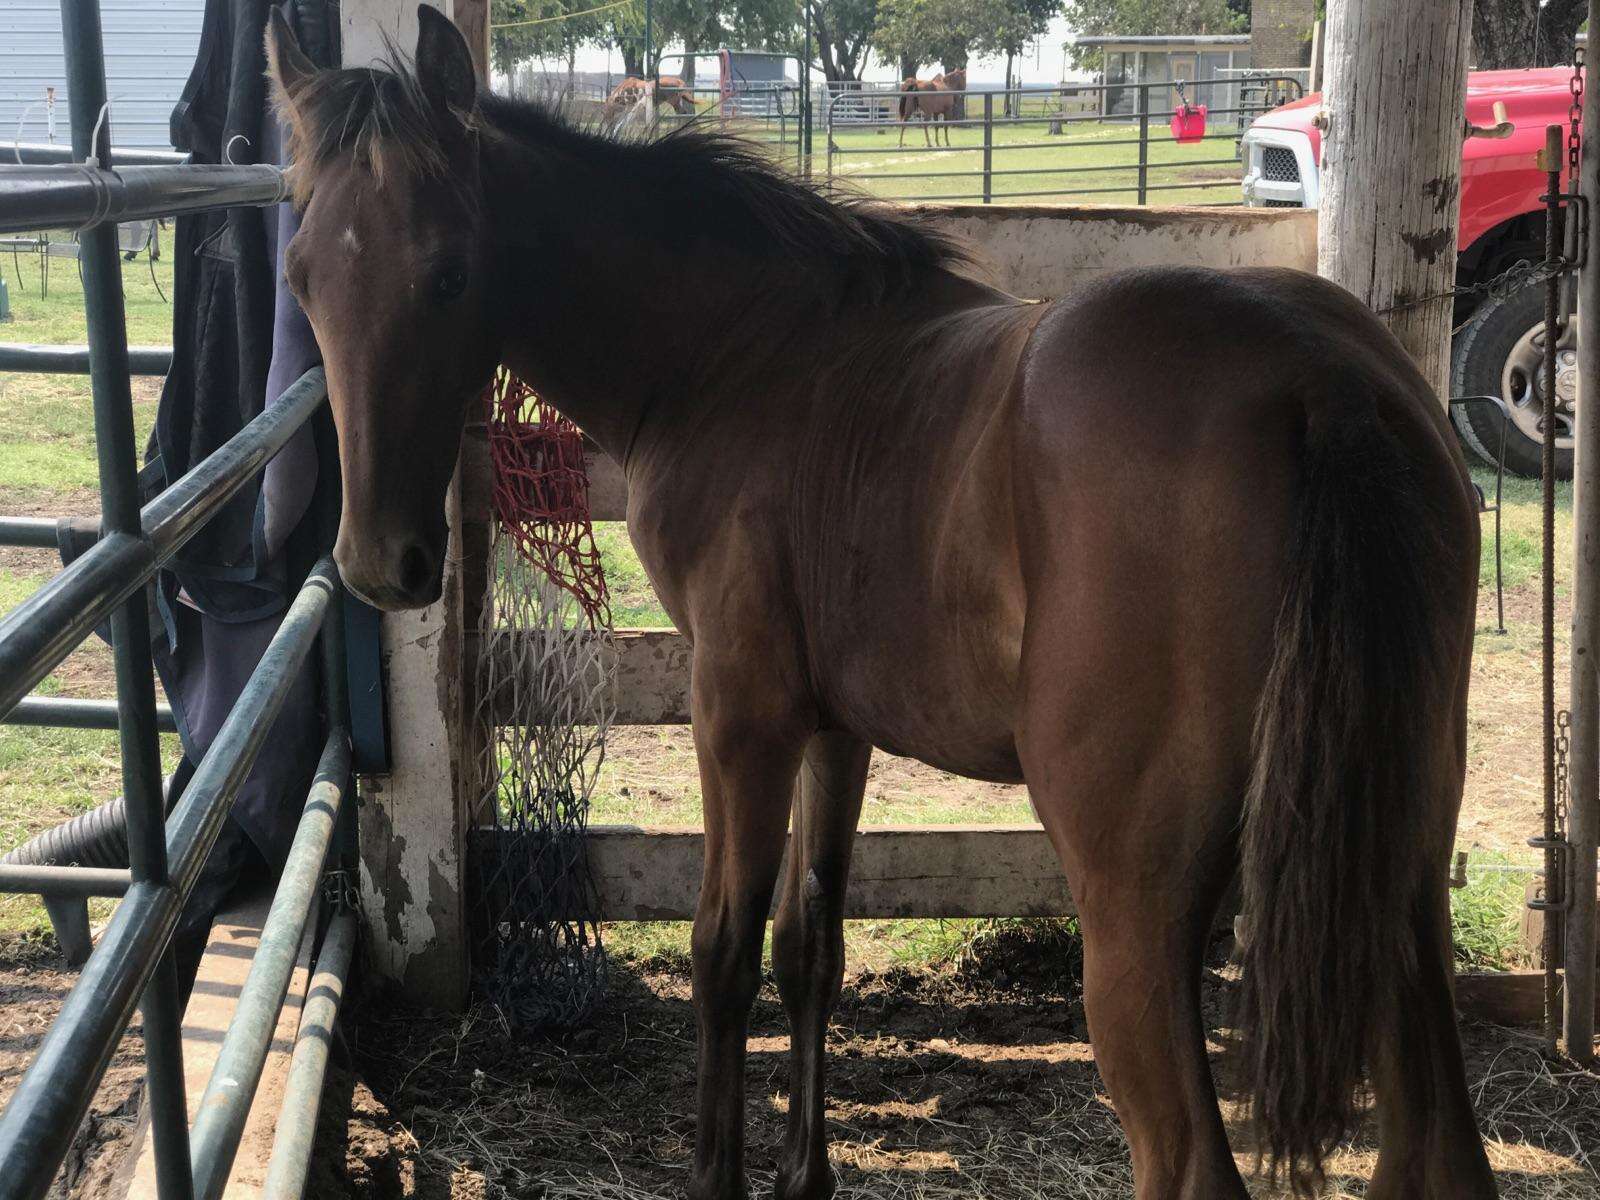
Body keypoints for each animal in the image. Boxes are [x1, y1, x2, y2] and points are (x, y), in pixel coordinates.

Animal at [265, 11, 1497, 1200]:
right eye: (301, 276)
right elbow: (811, 939)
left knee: (1189, 1163)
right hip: (1391, 888)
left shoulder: (741, 716)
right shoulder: (835, 725)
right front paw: (803, 1174)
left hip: (1136, 904)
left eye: (448, 274)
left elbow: (724, 949)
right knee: (1437, 1150)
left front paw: (718, 1174)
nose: (382, 562)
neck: (738, 355)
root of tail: (1315, 381)